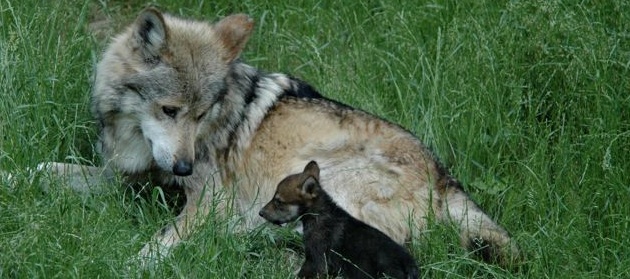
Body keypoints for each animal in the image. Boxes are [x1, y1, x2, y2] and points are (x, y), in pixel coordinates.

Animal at [43, 7, 520, 266]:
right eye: (170, 111)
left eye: (201, 115)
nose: (183, 166)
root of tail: (444, 178)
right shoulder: (123, 176)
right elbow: (44, 170)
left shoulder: (209, 199)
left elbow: (157, 245)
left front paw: (130, 263)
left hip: (316, 182)